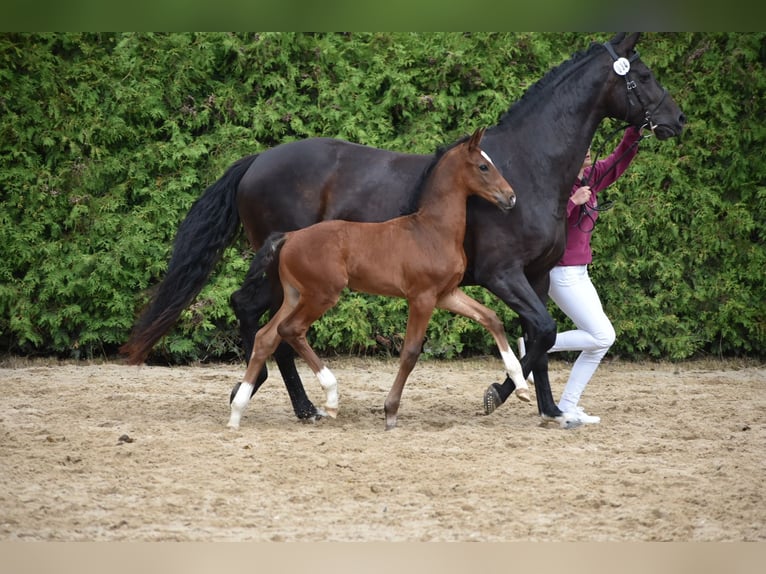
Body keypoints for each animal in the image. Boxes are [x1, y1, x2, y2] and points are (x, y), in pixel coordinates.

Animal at [228, 128, 528, 430]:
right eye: (483, 166)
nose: (511, 197)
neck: (432, 230)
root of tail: (289, 237)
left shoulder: (447, 294)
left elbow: (491, 318)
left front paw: (521, 387)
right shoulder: (422, 297)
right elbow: (410, 352)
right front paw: (390, 411)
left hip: (294, 296)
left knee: (266, 337)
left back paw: (237, 412)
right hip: (321, 295)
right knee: (290, 330)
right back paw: (330, 398)